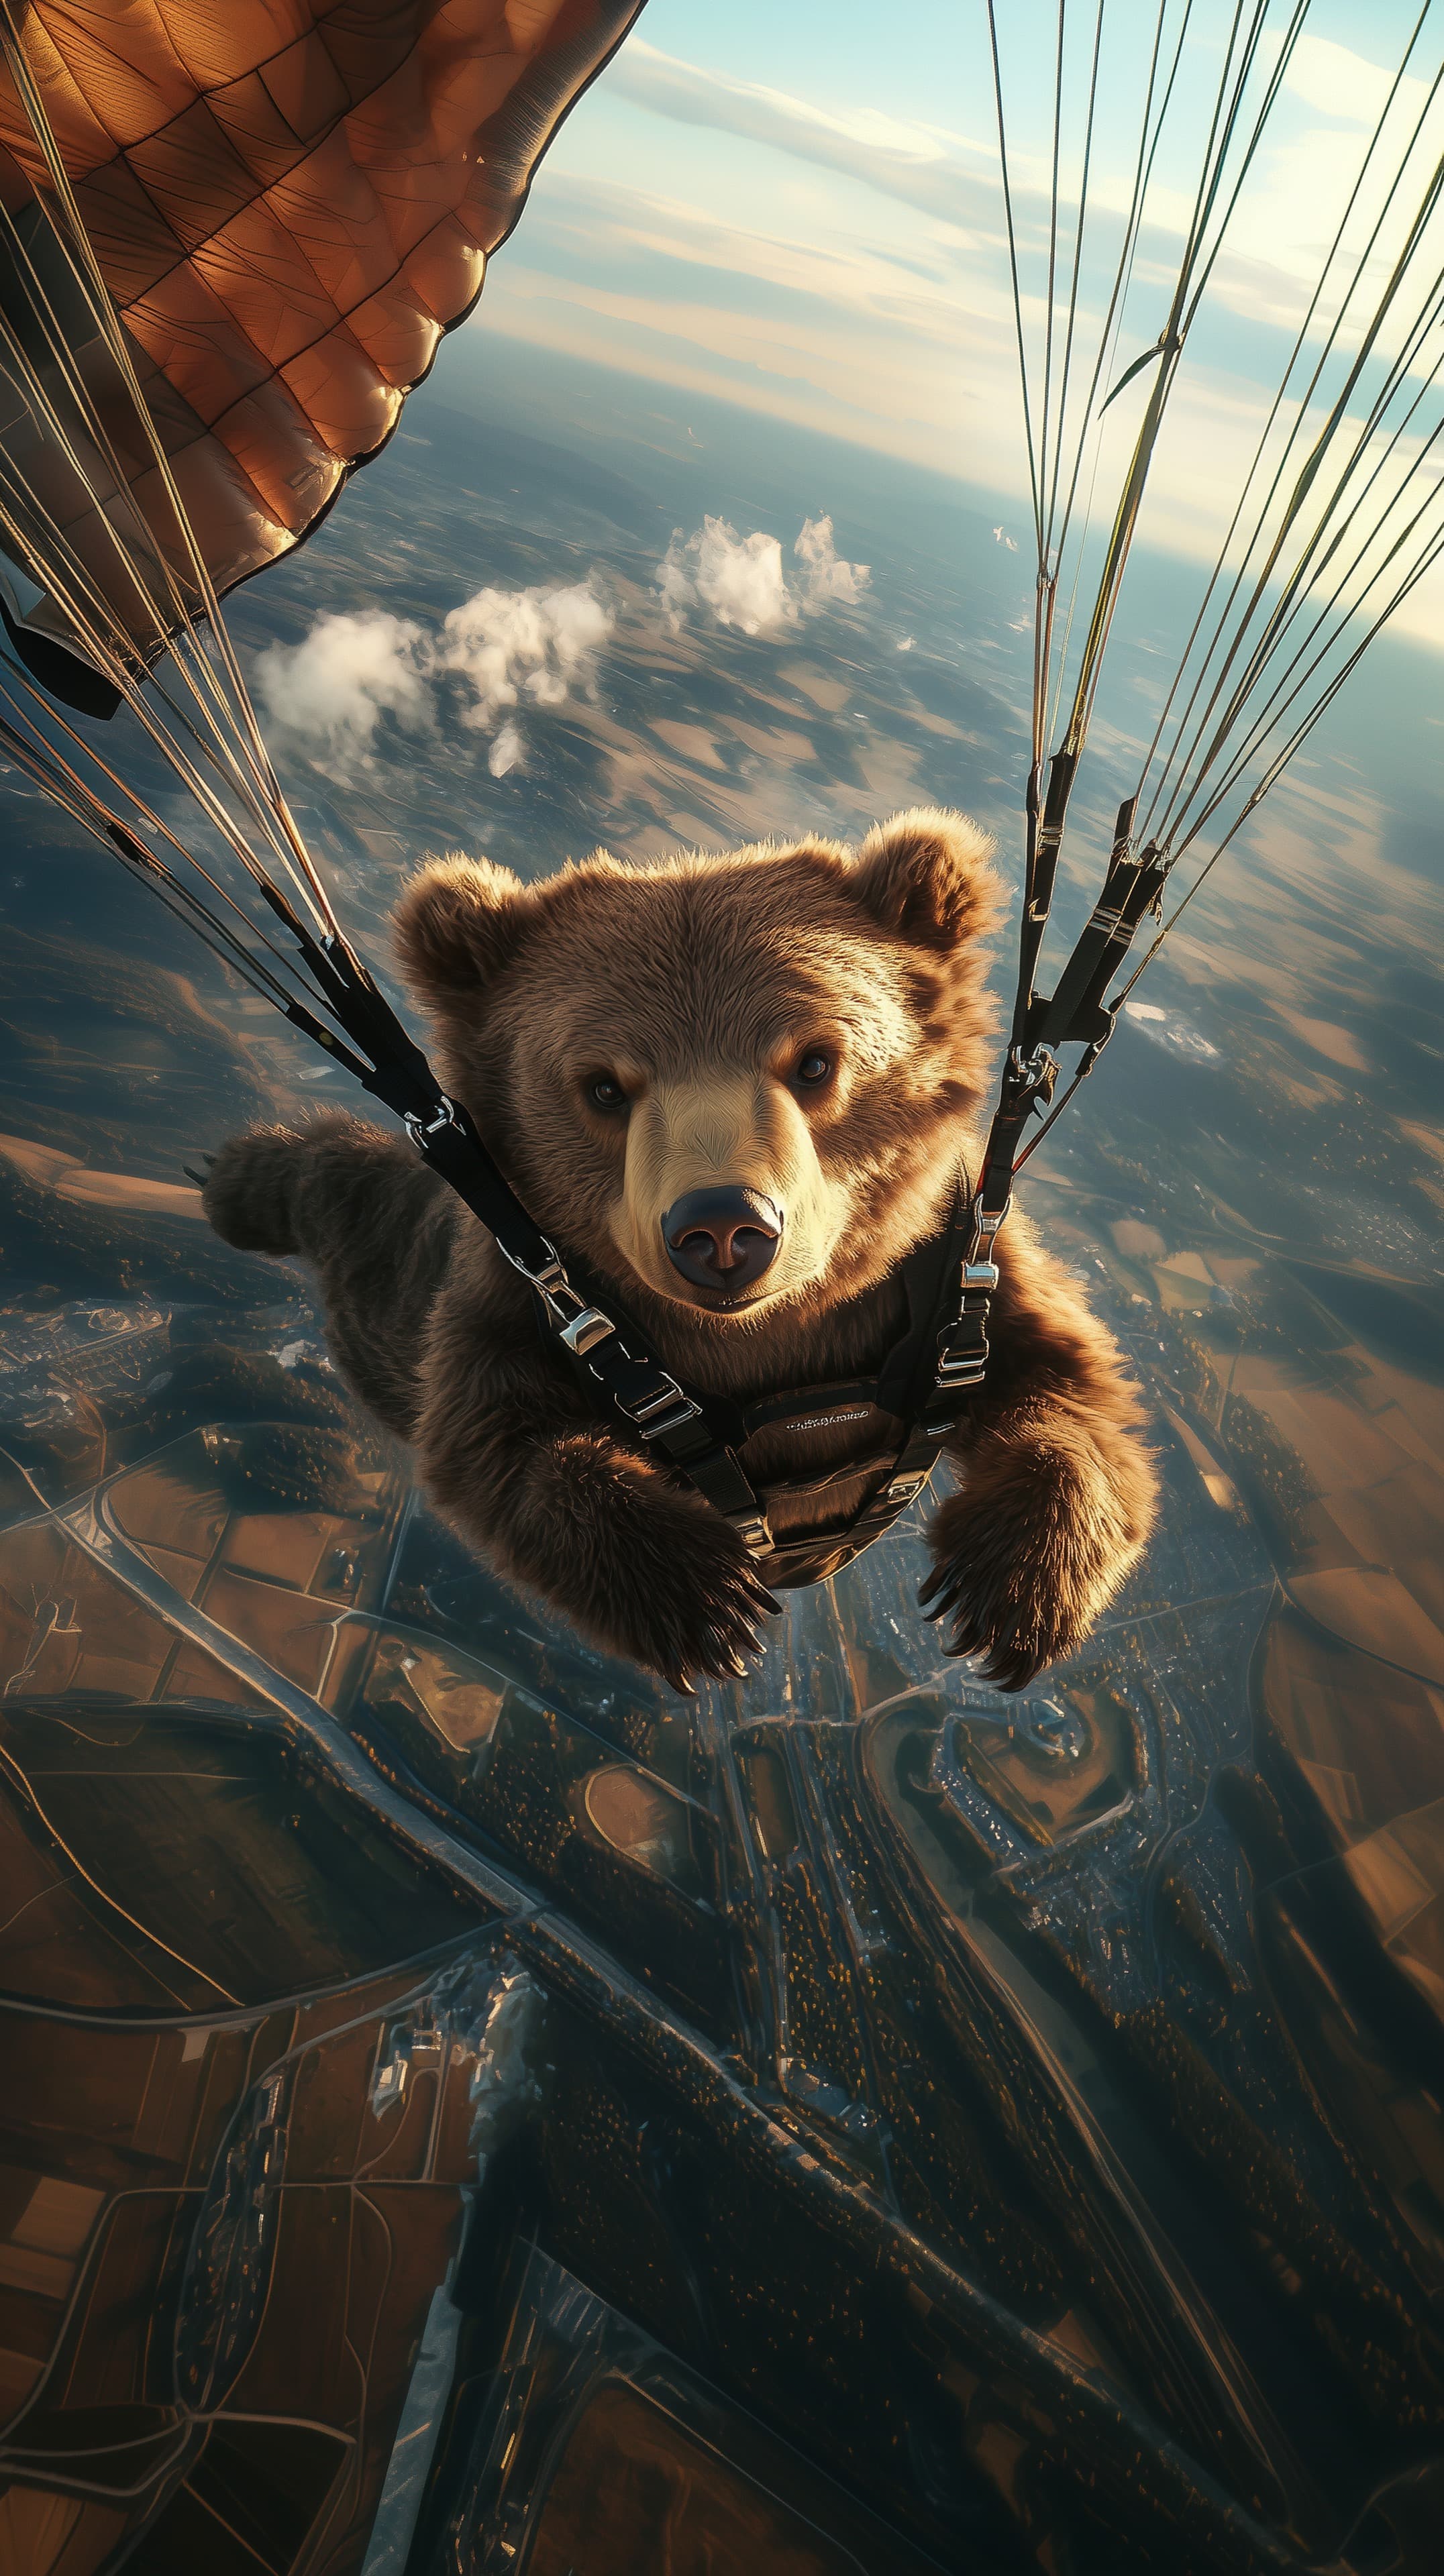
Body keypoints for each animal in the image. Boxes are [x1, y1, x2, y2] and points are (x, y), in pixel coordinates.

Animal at [201, 810, 1157, 1693]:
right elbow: (495, 1439)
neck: (772, 1340)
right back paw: (243, 1177)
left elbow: (1077, 1396)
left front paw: (1008, 1593)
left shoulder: (964, 1265)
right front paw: (707, 1601)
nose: (724, 1227)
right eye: (601, 1085)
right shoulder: (520, 1297)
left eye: (815, 1061)